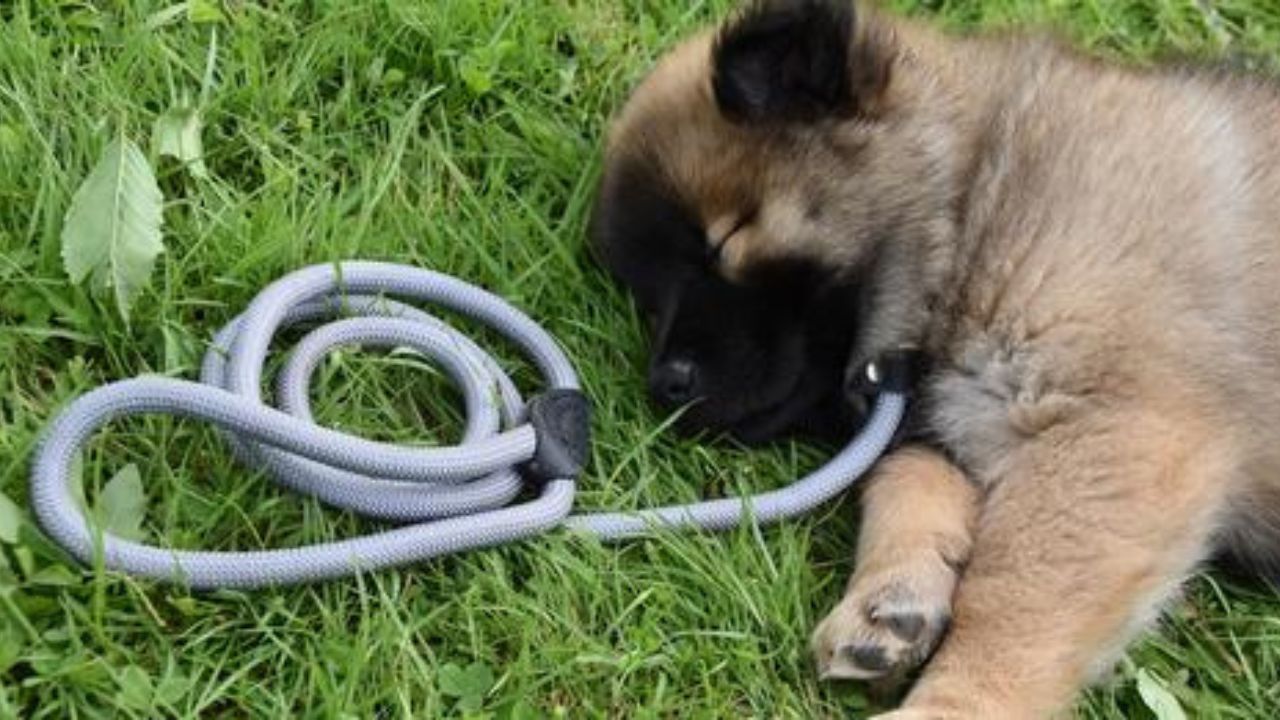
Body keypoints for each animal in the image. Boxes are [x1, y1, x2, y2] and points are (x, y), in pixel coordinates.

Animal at [591, 0, 1280, 712]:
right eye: (648, 298)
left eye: (722, 242)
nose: (665, 384)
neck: (974, 203)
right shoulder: (944, 426)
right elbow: (908, 483)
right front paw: (889, 604)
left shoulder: (1117, 427)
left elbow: (1015, 594)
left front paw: (955, 702)